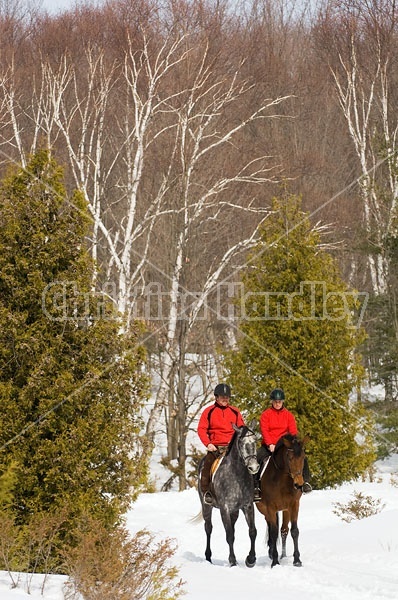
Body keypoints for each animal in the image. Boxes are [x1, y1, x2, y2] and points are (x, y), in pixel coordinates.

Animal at [197, 422, 260, 568]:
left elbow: (252, 531)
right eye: (241, 443)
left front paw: (251, 559)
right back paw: (208, 557)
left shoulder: (247, 506)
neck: (236, 475)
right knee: (208, 528)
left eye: (255, 441)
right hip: (206, 506)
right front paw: (232, 561)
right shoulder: (224, 508)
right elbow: (229, 534)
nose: (254, 467)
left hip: (234, 512)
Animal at [256, 436, 310, 568]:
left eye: (303, 457)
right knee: (271, 528)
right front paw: (275, 562)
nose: (299, 484)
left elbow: (294, 531)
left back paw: (281, 555)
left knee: (284, 530)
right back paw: (272, 553)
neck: (282, 479)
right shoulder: (270, 507)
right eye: (289, 458)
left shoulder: (294, 505)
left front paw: (297, 560)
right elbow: (273, 532)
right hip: (264, 510)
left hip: (285, 510)